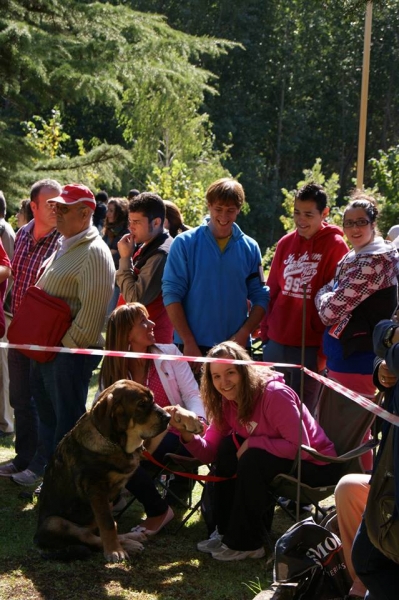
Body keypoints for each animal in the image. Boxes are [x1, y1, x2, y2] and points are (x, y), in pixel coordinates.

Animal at [34, 380, 170, 564]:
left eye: (153, 399)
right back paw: (129, 545)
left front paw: (118, 545)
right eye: (141, 404)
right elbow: (107, 523)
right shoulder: (96, 489)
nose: (168, 417)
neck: (116, 443)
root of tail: (37, 540)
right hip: (54, 523)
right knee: (89, 538)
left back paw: (131, 538)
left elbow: (111, 523)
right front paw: (114, 551)